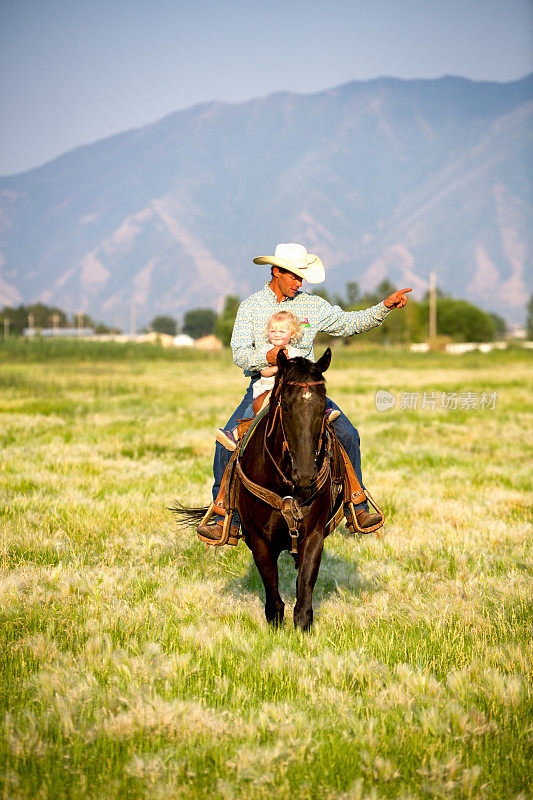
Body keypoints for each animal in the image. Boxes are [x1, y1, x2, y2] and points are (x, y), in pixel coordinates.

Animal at [172, 348, 342, 632]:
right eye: (286, 405)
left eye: (322, 407)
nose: (306, 474)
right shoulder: (260, 540)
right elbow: (273, 595)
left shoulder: (314, 536)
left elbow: (304, 592)